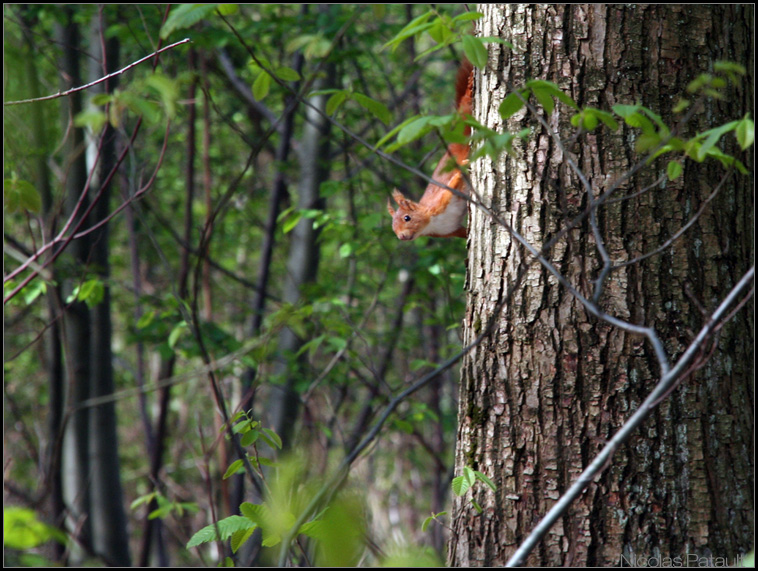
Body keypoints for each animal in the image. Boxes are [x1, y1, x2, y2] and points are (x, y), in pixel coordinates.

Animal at [388, 61, 472, 241]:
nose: (401, 237)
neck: (431, 223)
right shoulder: (448, 231)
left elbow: (452, 183)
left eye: (407, 217)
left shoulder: (440, 201)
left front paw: (462, 168)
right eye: (392, 227)